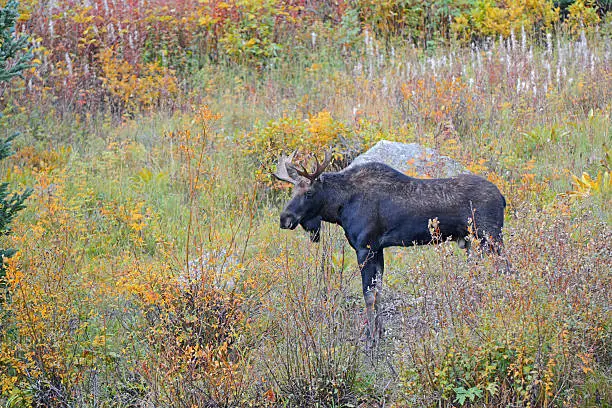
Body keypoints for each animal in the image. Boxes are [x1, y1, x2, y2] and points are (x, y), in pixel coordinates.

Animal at [274, 150, 506, 344]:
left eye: (309, 193)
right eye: (292, 191)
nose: (284, 219)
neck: (339, 208)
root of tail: (502, 198)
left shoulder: (365, 247)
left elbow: (368, 295)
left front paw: (371, 338)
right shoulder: (378, 249)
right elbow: (378, 291)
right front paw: (379, 331)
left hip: (490, 237)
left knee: (505, 270)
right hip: (473, 242)